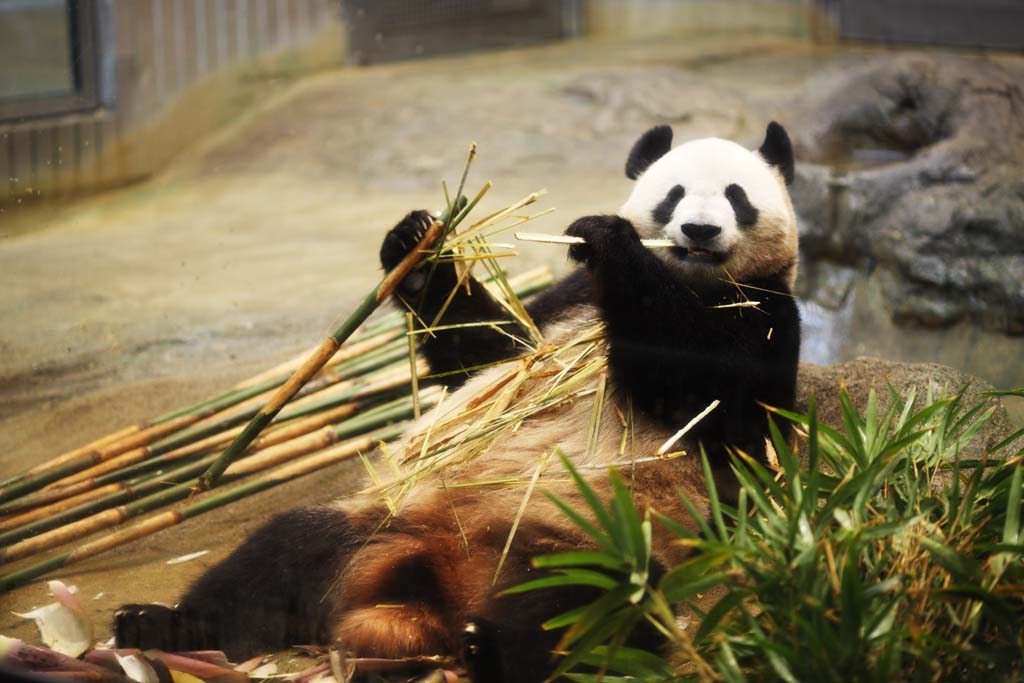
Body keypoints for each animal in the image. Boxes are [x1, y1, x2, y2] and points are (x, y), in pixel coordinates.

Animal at [117, 122, 798, 683]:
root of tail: (434, 588)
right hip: (379, 526)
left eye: (737, 196)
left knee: (577, 612)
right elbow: (486, 354)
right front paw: (418, 247)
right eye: (674, 194)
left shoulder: (765, 315)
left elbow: (703, 396)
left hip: (591, 538)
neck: (689, 281)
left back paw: (489, 652)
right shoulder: (564, 305)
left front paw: (609, 239)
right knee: (275, 562)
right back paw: (158, 625)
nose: (700, 230)